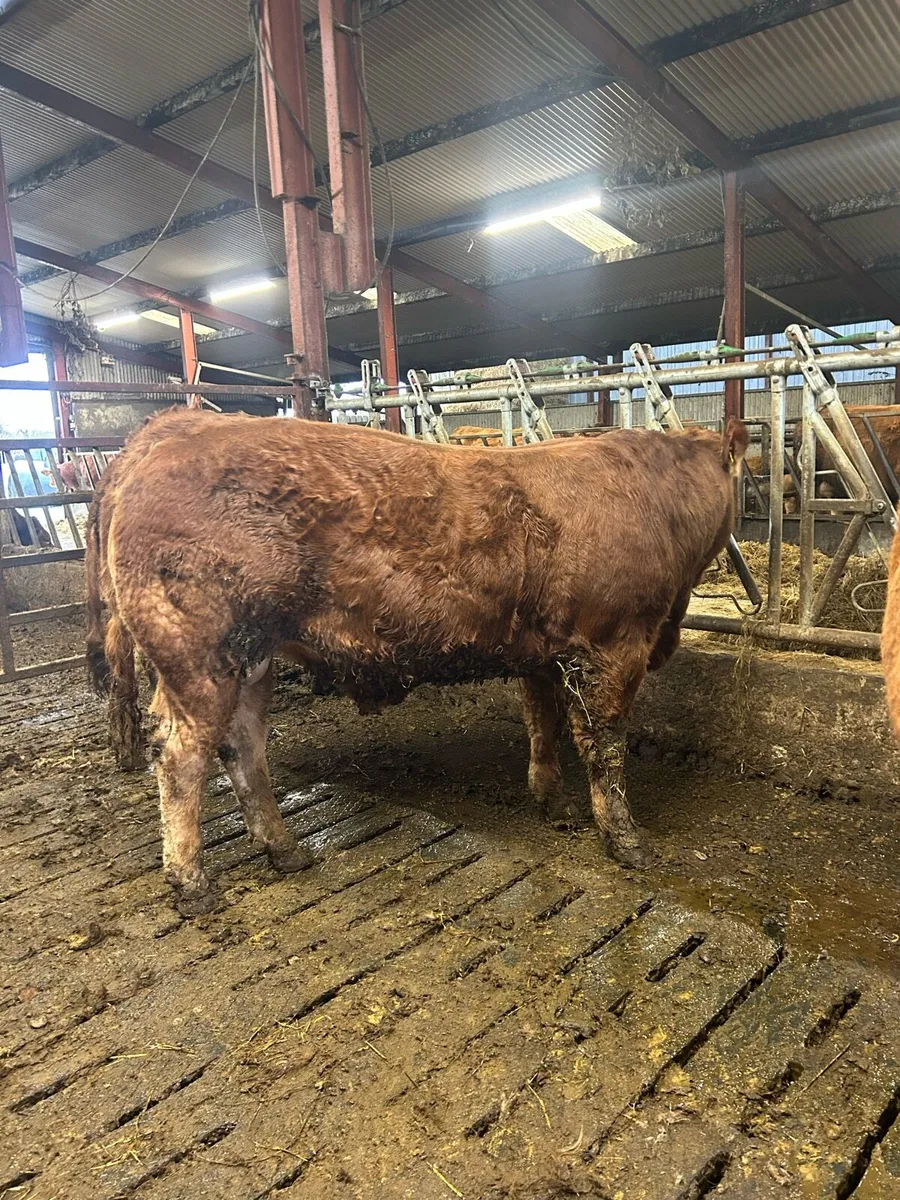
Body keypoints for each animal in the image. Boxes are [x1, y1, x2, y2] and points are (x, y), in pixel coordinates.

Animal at [86, 407, 747, 915]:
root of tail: (168, 434)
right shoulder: (615, 646)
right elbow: (605, 746)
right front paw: (626, 839)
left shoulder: (544, 653)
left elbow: (544, 722)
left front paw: (551, 799)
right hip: (199, 657)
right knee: (179, 757)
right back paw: (192, 883)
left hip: (251, 658)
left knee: (243, 748)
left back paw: (286, 849)